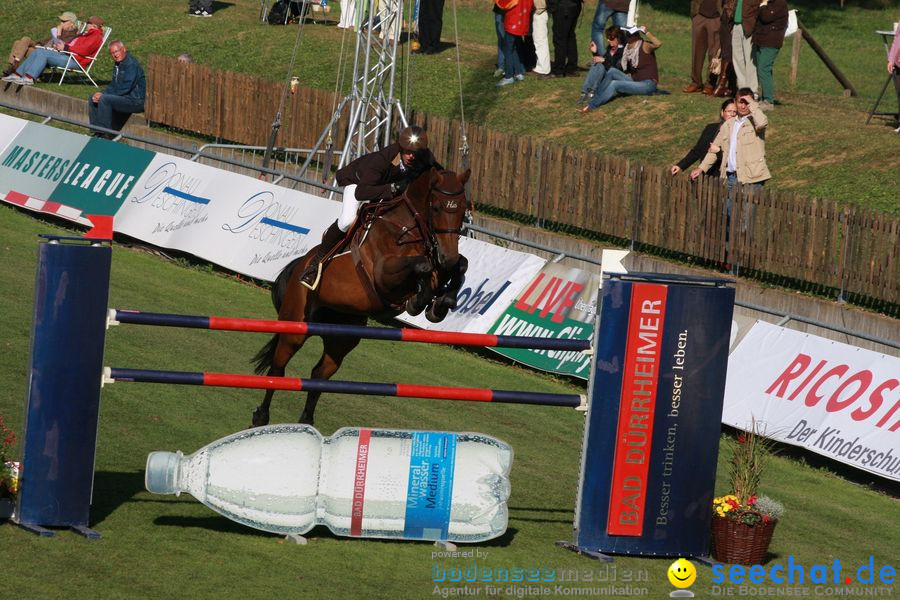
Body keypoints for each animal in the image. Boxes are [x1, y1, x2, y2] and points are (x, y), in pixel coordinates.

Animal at [248, 165, 472, 426]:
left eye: (463, 210)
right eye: (435, 207)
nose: (447, 257)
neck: (408, 229)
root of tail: (298, 267)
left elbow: (461, 265)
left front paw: (442, 303)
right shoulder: (383, 275)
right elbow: (422, 266)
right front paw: (420, 301)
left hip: (341, 339)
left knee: (319, 376)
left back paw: (306, 423)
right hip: (295, 327)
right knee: (278, 368)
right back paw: (261, 416)